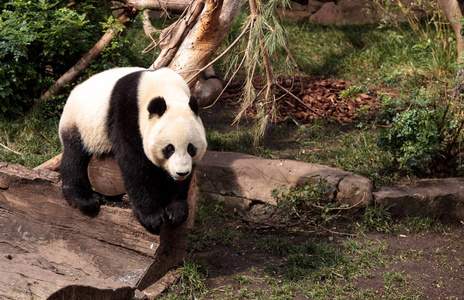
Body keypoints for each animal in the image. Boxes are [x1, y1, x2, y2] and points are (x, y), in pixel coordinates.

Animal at [58, 68, 207, 234]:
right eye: (169, 148)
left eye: (191, 148)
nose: (181, 172)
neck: (167, 90)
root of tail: (75, 91)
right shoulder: (127, 115)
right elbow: (134, 164)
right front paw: (151, 217)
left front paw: (176, 210)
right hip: (79, 123)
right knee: (74, 157)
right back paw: (86, 199)